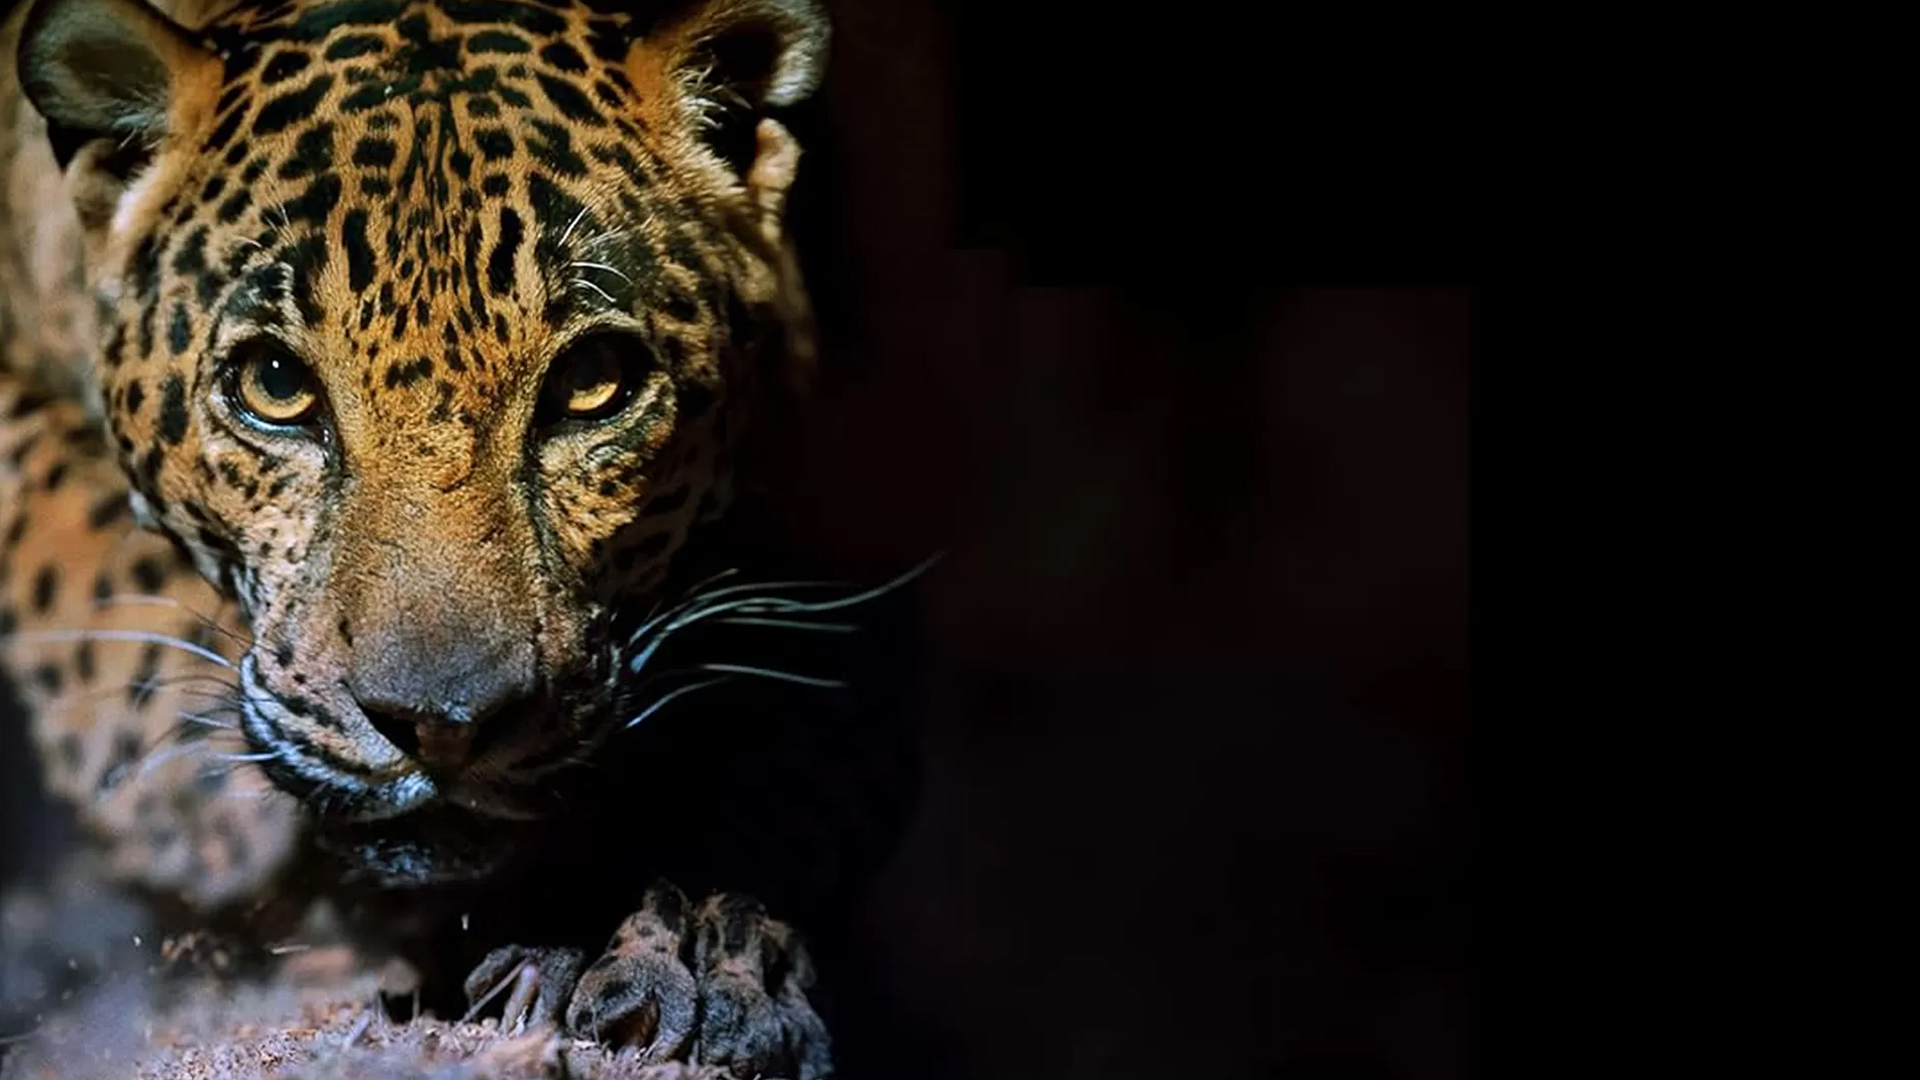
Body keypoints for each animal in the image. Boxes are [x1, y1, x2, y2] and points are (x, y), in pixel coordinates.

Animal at [0, 1, 925, 1076]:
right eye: (274, 385)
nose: (442, 726)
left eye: (594, 383)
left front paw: (688, 947)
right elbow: (69, 546)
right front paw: (196, 803)